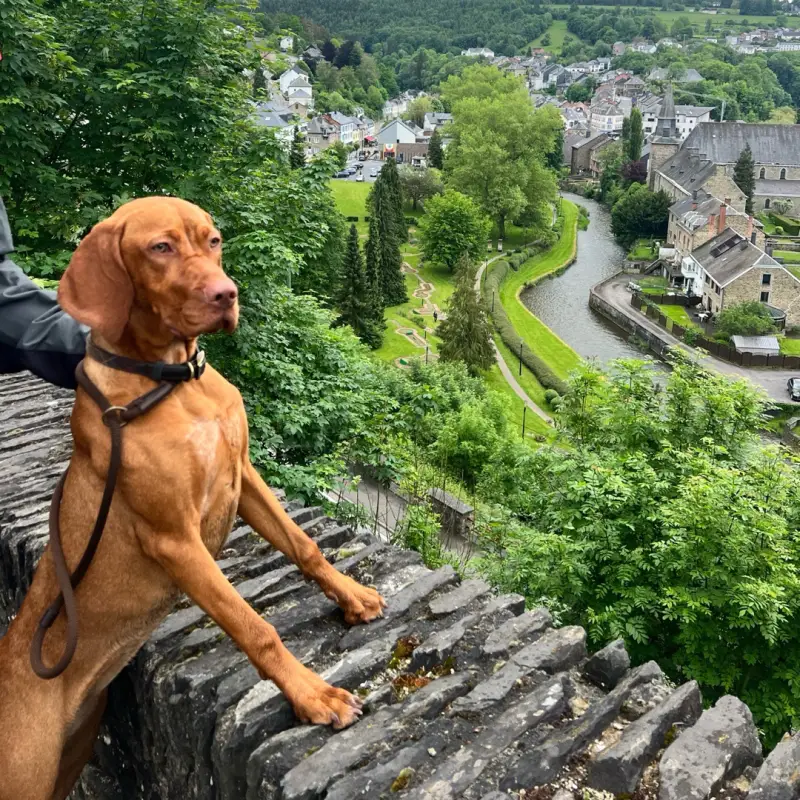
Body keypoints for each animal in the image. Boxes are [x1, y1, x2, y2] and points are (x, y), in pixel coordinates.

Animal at [0, 195, 388, 800]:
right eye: (160, 247)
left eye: (214, 240)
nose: (227, 294)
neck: (175, 382)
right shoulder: (175, 539)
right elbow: (255, 627)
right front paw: (311, 694)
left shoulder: (243, 477)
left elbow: (304, 547)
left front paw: (350, 595)